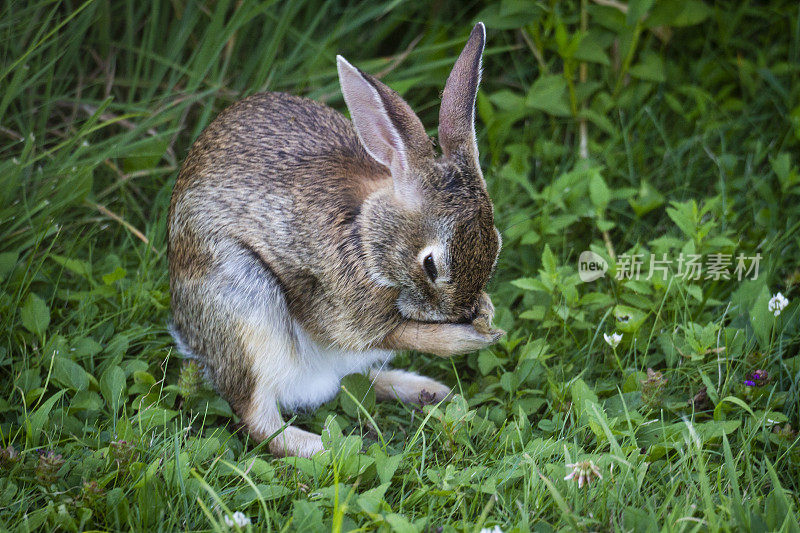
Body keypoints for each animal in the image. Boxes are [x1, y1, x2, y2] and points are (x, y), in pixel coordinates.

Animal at [168, 22, 504, 458]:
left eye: (495, 247)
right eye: (430, 264)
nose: (463, 312)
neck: (368, 237)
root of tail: (189, 339)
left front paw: (487, 313)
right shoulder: (337, 305)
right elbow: (399, 331)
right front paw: (468, 338)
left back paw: (427, 392)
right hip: (243, 304)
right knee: (259, 420)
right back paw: (328, 448)